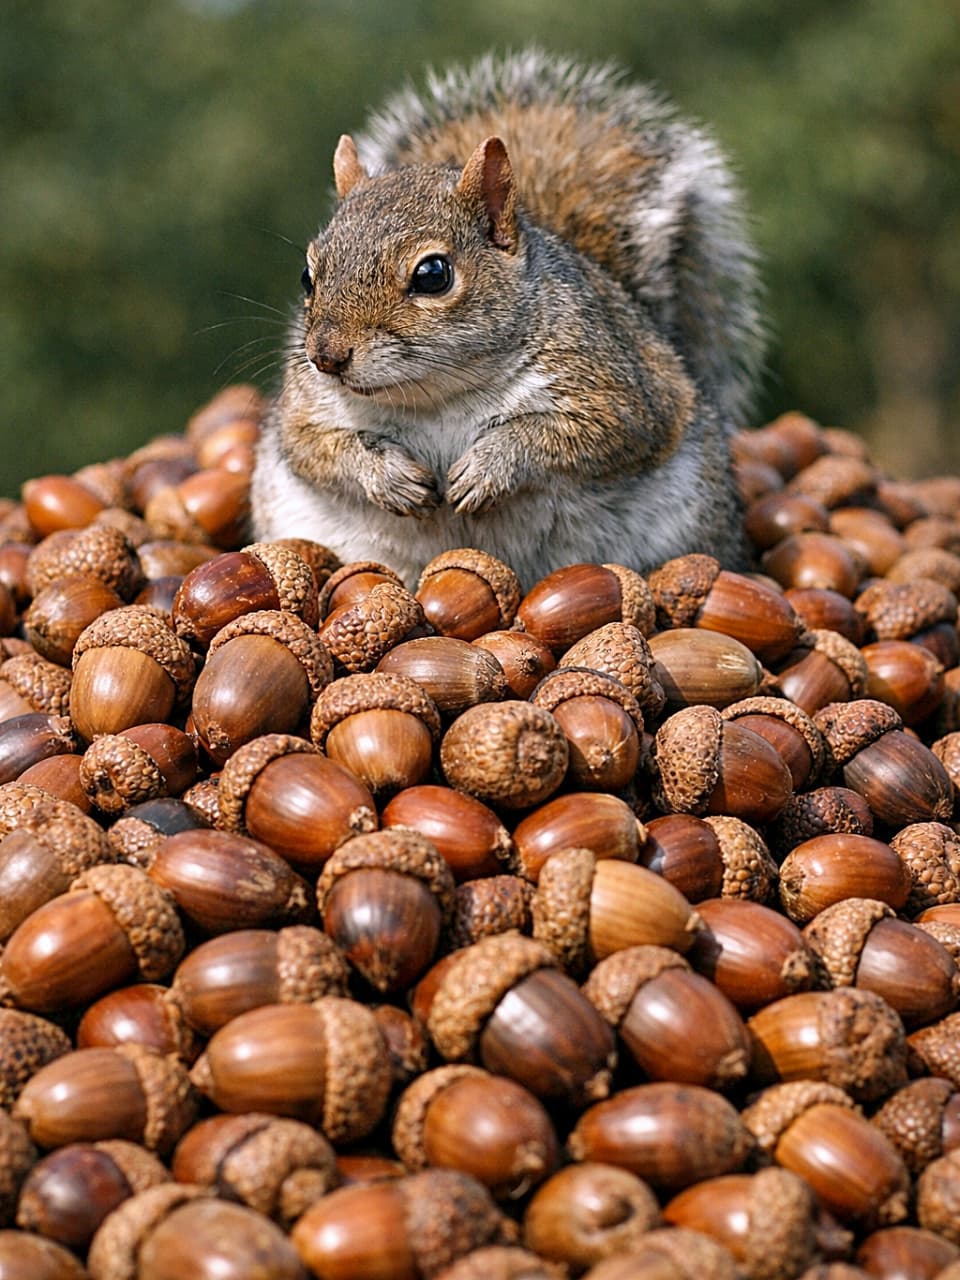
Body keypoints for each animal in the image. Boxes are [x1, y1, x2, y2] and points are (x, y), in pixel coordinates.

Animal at [251, 49, 764, 588]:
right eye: (307, 275)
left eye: (433, 274)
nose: (325, 357)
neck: (437, 397)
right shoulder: (302, 407)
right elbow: (315, 448)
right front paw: (389, 477)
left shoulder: (615, 389)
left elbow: (583, 434)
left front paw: (489, 467)